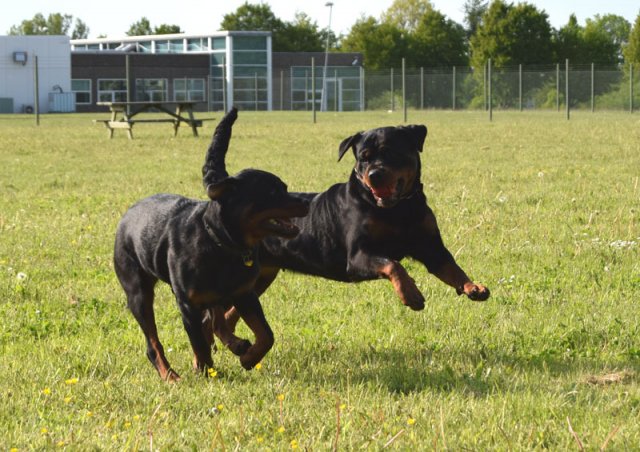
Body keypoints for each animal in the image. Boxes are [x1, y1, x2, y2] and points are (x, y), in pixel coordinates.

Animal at [114, 109, 310, 382]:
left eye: (285, 187)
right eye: (272, 192)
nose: (306, 202)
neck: (222, 244)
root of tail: (127, 215)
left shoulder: (244, 293)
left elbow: (266, 335)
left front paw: (249, 358)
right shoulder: (187, 304)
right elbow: (199, 343)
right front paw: (206, 372)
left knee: (216, 321)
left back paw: (236, 345)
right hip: (137, 292)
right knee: (153, 342)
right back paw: (170, 375)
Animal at [218, 122, 488, 338]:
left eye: (391, 152)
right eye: (363, 157)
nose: (375, 174)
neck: (399, 209)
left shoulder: (431, 248)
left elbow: (453, 268)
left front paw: (472, 287)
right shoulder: (358, 256)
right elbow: (393, 265)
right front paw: (410, 294)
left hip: (258, 279)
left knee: (229, 314)